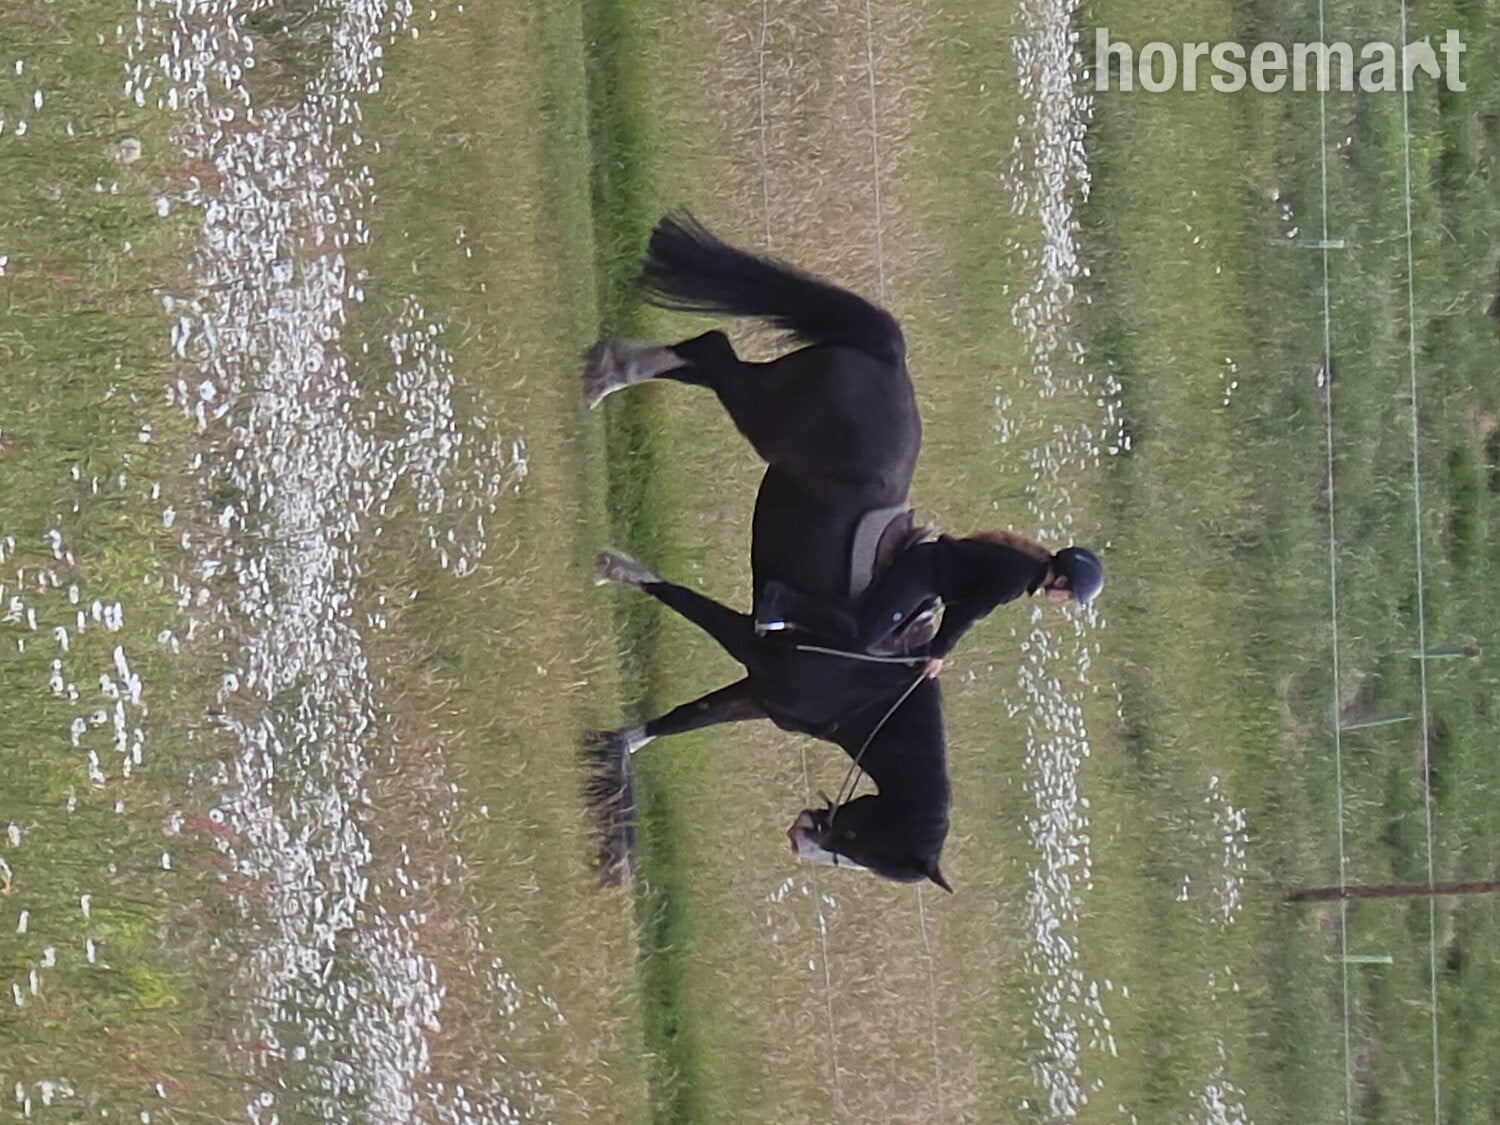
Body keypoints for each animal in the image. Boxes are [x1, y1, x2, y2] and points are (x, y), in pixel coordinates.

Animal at [582, 211, 952, 892]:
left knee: (707, 358)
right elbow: (680, 601)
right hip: (765, 417)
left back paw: (609, 369)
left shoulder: (757, 694)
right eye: (867, 844)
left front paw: (616, 750)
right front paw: (615, 567)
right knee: (712, 350)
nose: (802, 840)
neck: (864, 689)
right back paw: (605, 373)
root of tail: (891, 355)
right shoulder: (752, 645)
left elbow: (680, 720)